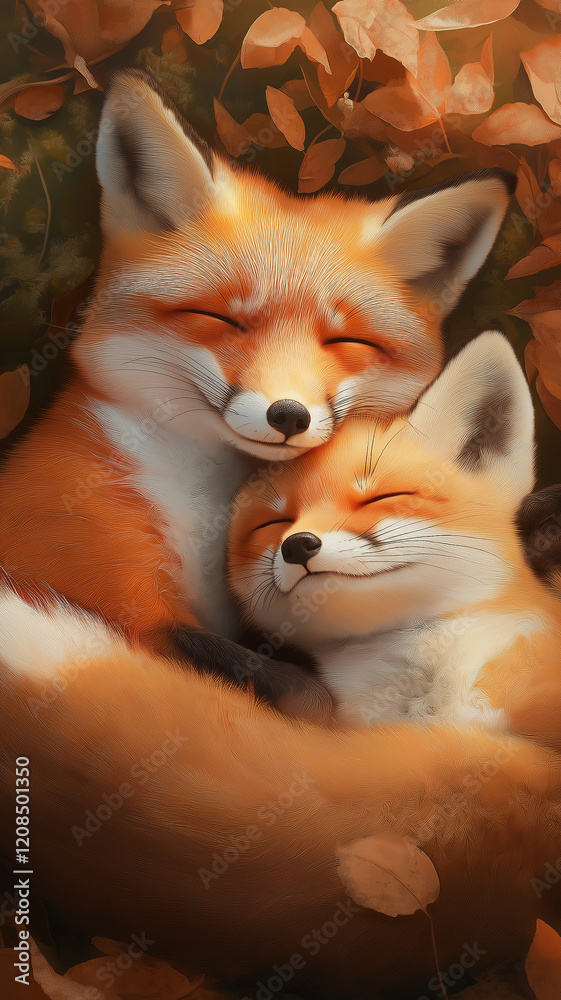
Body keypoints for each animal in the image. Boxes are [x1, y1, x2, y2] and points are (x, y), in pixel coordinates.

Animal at [0, 67, 516, 715]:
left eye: (344, 339)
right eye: (222, 319)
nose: (288, 415)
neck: (198, 512)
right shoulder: (103, 586)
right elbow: (296, 691)